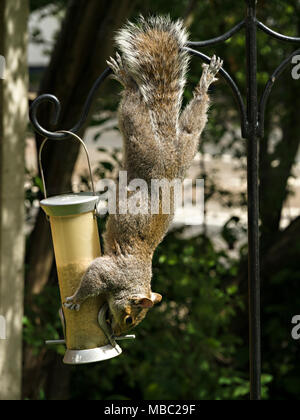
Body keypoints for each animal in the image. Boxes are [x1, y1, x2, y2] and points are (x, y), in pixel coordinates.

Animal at [63, 16, 223, 336]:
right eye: (130, 318)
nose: (118, 332)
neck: (134, 278)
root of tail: (168, 153)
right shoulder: (110, 272)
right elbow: (92, 279)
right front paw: (76, 299)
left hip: (187, 144)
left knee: (194, 120)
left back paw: (204, 85)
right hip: (142, 138)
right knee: (134, 103)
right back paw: (127, 79)